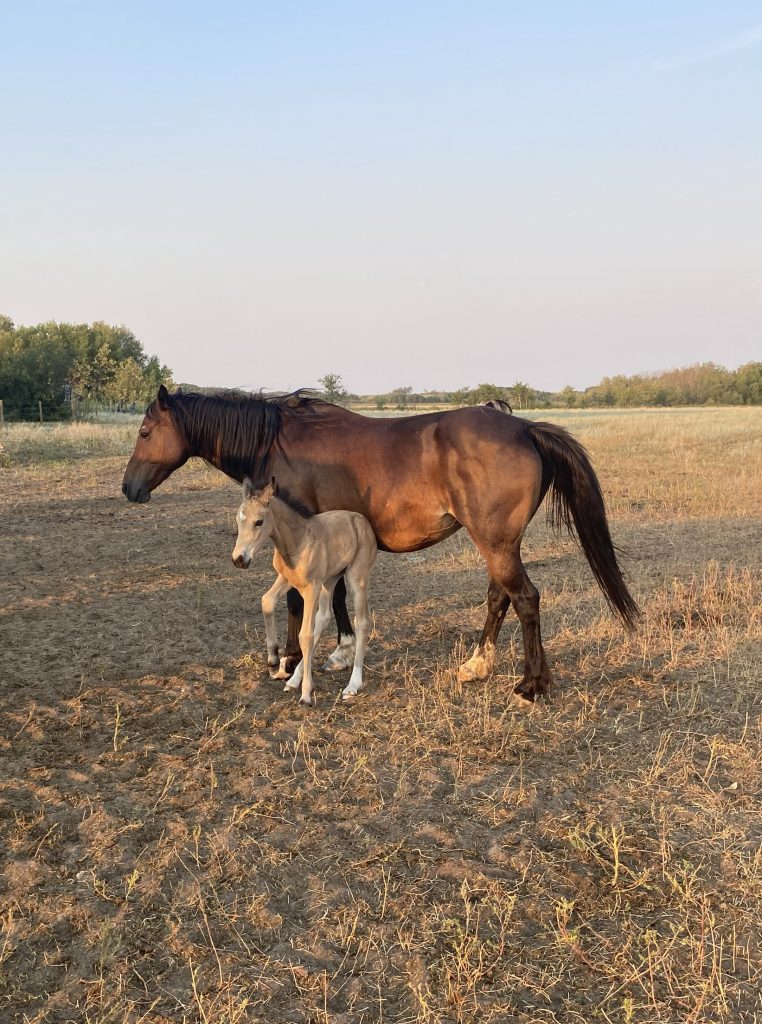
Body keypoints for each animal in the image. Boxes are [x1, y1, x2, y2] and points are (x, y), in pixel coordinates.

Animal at [232, 478, 377, 706]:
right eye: (239, 520)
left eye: (259, 522)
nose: (239, 559)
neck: (297, 540)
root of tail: (363, 520)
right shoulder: (286, 579)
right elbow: (266, 601)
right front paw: (273, 658)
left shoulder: (311, 588)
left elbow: (305, 635)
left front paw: (307, 693)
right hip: (330, 580)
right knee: (324, 616)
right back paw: (294, 680)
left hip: (356, 578)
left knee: (361, 622)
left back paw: (352, 684)